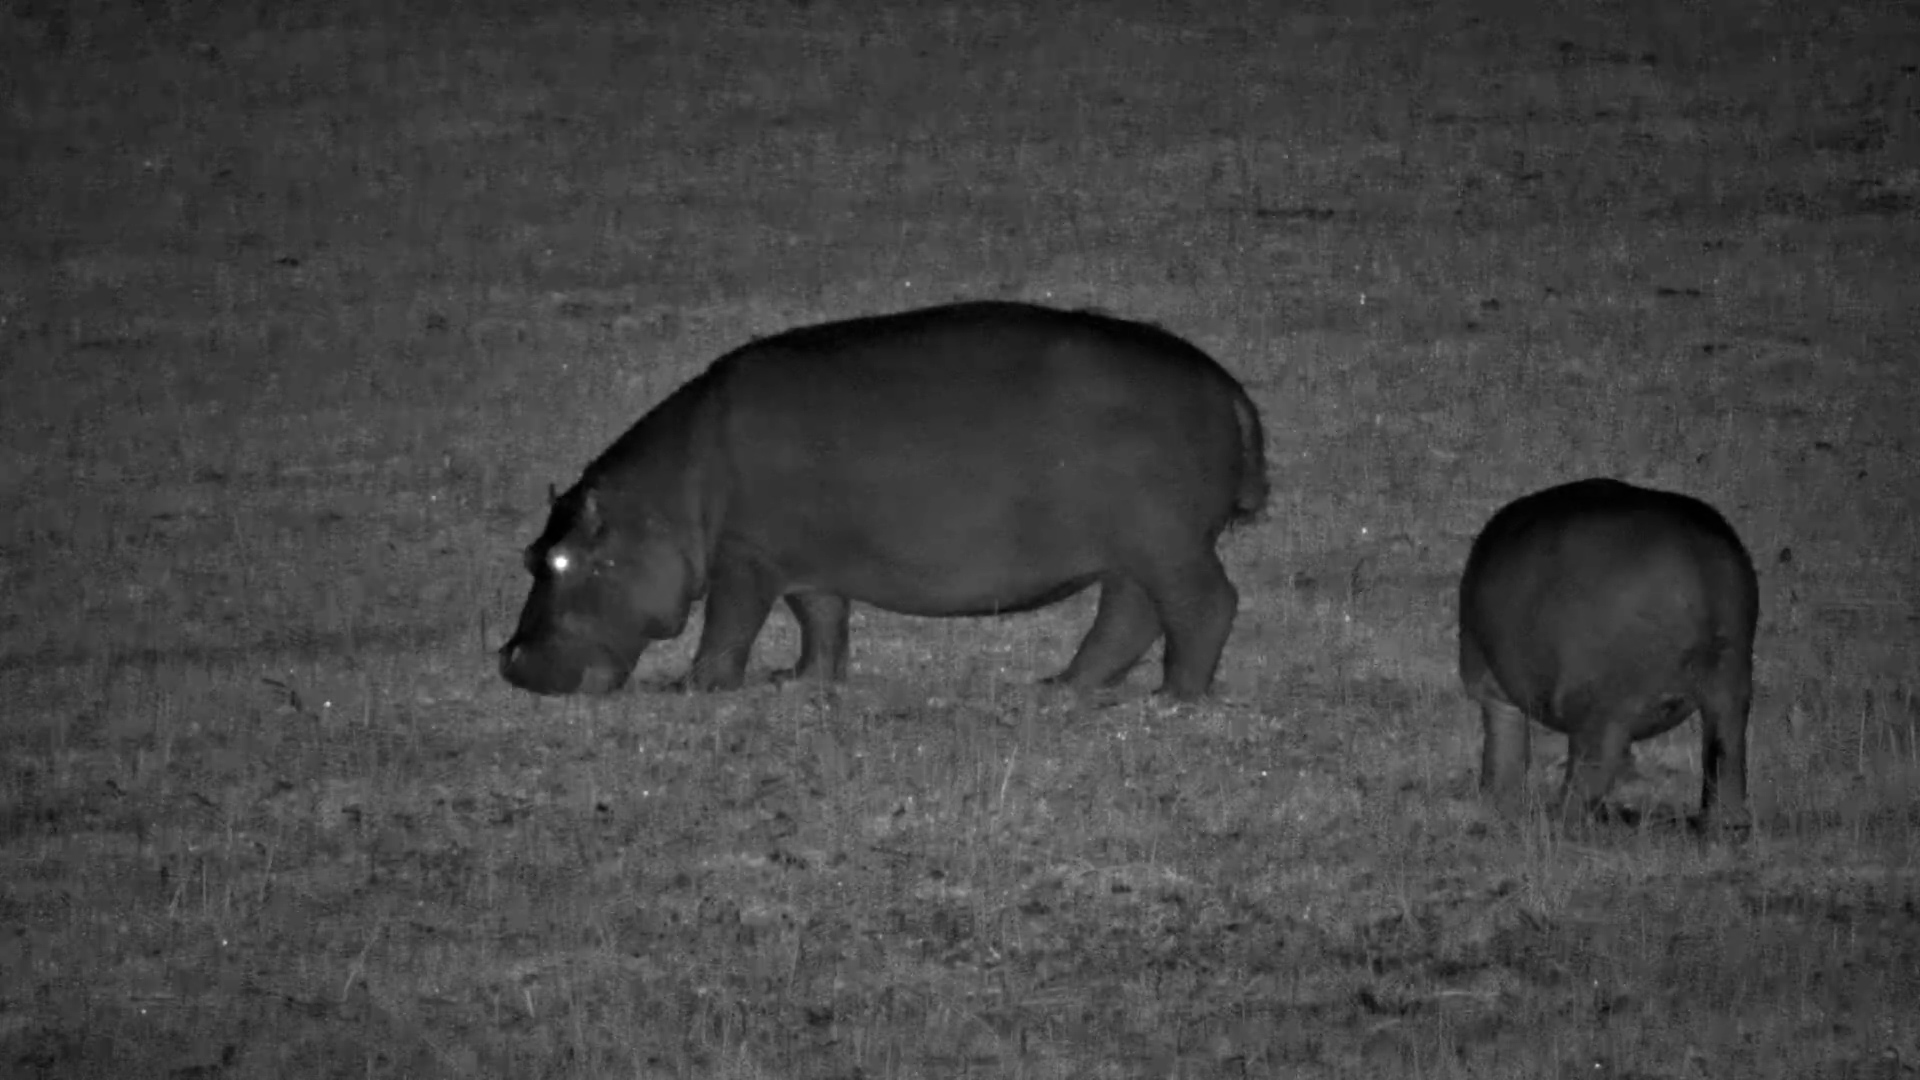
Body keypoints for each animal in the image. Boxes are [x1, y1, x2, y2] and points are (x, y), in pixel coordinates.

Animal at [499, 301, 1269, 701]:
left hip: (1168, 543)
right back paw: (1061, 686)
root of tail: (1228, 387)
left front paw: (695, 688)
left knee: (1205, 605)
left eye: (561, 561)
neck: (665, 500)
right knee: (1130, 616)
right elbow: (821, 620)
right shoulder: (803, 560)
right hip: (1133, 551)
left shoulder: (744, 558)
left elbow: (730, 625)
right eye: (531, 553)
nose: (510, 661)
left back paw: (1175, 698)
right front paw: (797, 680)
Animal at [1457, 477, 1758, 828]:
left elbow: (1505, 748)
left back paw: (1561, 820)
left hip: (1602, 705)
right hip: (1731, 681)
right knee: (1726, 758)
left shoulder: (1493, 686)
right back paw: (1726, 826)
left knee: (1590, 770)